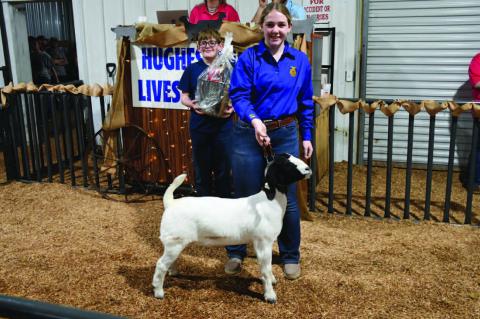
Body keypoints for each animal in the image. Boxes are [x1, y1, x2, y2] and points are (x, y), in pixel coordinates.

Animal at [152, 154, 314, 304]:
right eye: (286, 164)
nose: (308, 169)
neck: (270, 200)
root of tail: (170, 203)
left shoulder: (260, 243)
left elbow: (266, 266)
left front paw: (272, 281)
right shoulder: (263, 242)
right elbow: (266, 269)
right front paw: (270, 295)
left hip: (175, 243)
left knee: (168, 262)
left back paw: (173, 272)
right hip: (175, 241)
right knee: (160, 264)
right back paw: (158, 292)